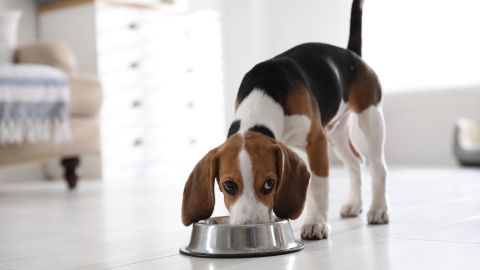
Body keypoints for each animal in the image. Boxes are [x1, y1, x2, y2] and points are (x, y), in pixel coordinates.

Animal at [182, 0, 388, 240]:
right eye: (229, 186)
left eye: (270, 184)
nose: (250, 227)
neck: (264, 96)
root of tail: (351, 54)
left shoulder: (316, 141)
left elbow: (318, 186)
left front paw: (316, 223)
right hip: (335, 132)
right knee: (356, 162)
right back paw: (355, 204)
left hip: (370, 117)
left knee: (378, 166)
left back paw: (378, 209)